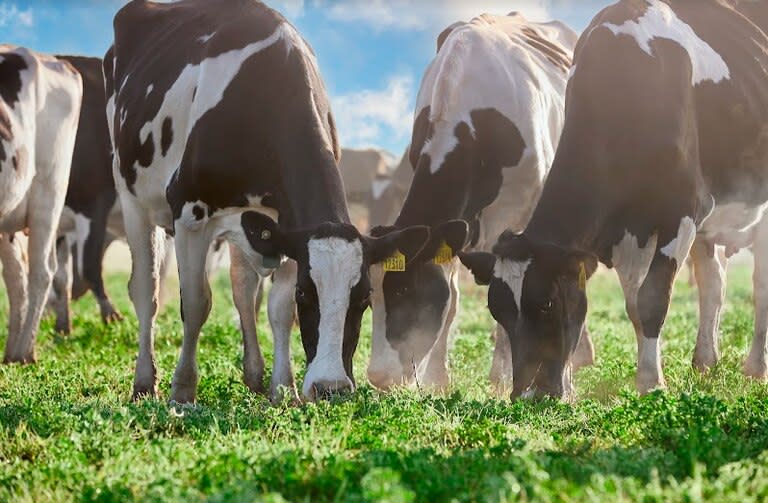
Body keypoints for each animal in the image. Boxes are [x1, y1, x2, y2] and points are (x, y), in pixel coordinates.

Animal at [106, 0, 426, 402]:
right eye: (307, 293)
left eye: (365, 298)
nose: (331, 388)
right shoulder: (190, 212)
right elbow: (195, 302)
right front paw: (183, 389)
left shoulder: (288, 226)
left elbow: (277, 309)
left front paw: (282, 387)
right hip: (132, 197)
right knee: (146, 291)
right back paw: (144, 381)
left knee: (243, 290)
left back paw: (254, 374)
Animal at [366, 10, 576, 390]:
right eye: (370, 297)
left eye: (405, 292)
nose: (379, 376)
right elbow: (452, 296)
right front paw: (437, 378)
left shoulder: (512, 214)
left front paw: (501, 377)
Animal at [460, 0, 768, 402]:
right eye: (498, 312)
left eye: (547, 303)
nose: (525, 396)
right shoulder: (626, 229)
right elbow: (634, 305)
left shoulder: (683, 210)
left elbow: (652, 299)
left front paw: (652, 383)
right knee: (714, 283)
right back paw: (705, 362)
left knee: (759, 285)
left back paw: (755, 367)